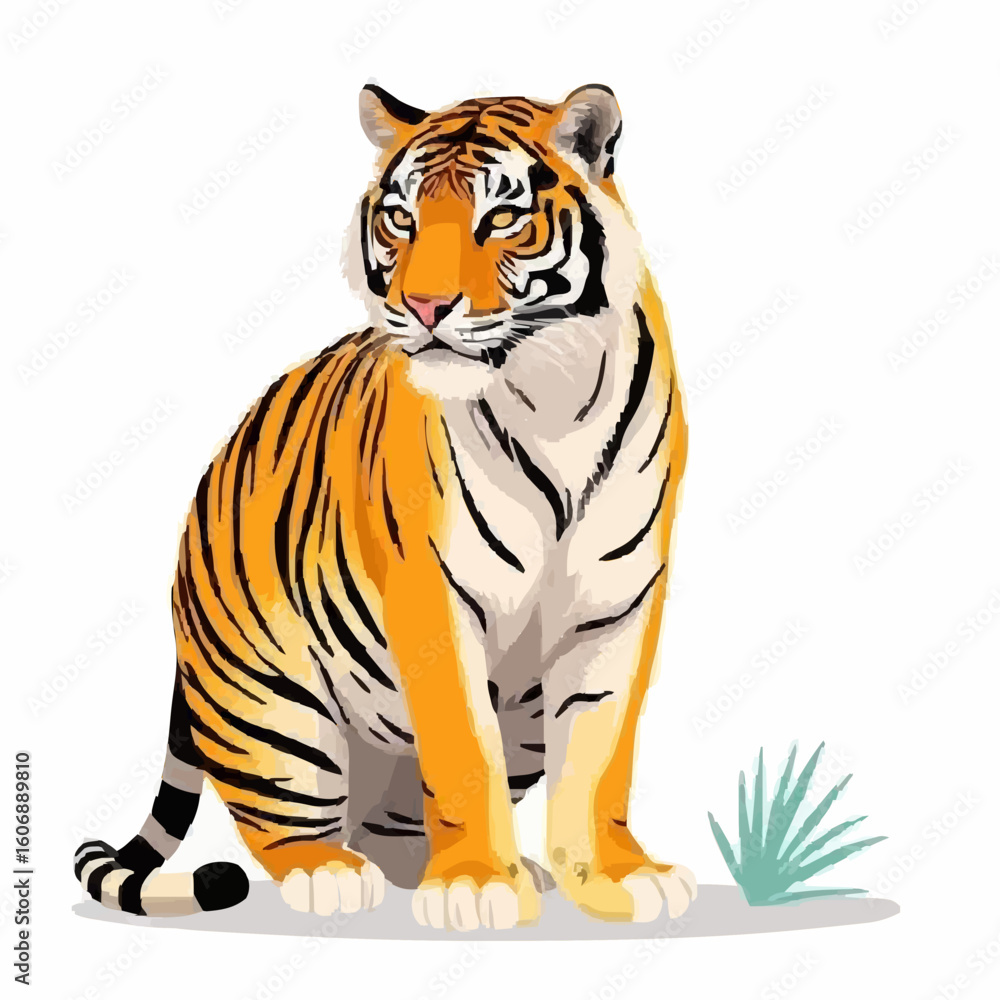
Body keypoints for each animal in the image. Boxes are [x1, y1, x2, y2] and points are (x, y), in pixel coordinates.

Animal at [74, 83, 695, 931]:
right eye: (401, 218)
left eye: (502, 217)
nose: (425, 306)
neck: (551, 396)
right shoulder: (433, 596)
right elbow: (462, 753)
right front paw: (475, 886)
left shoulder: (617, 601)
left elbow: (601, 756)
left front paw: (614, 876)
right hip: (272, 704)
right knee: (283, 822)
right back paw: (327, 875)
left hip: (519, 720)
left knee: (386, 822)